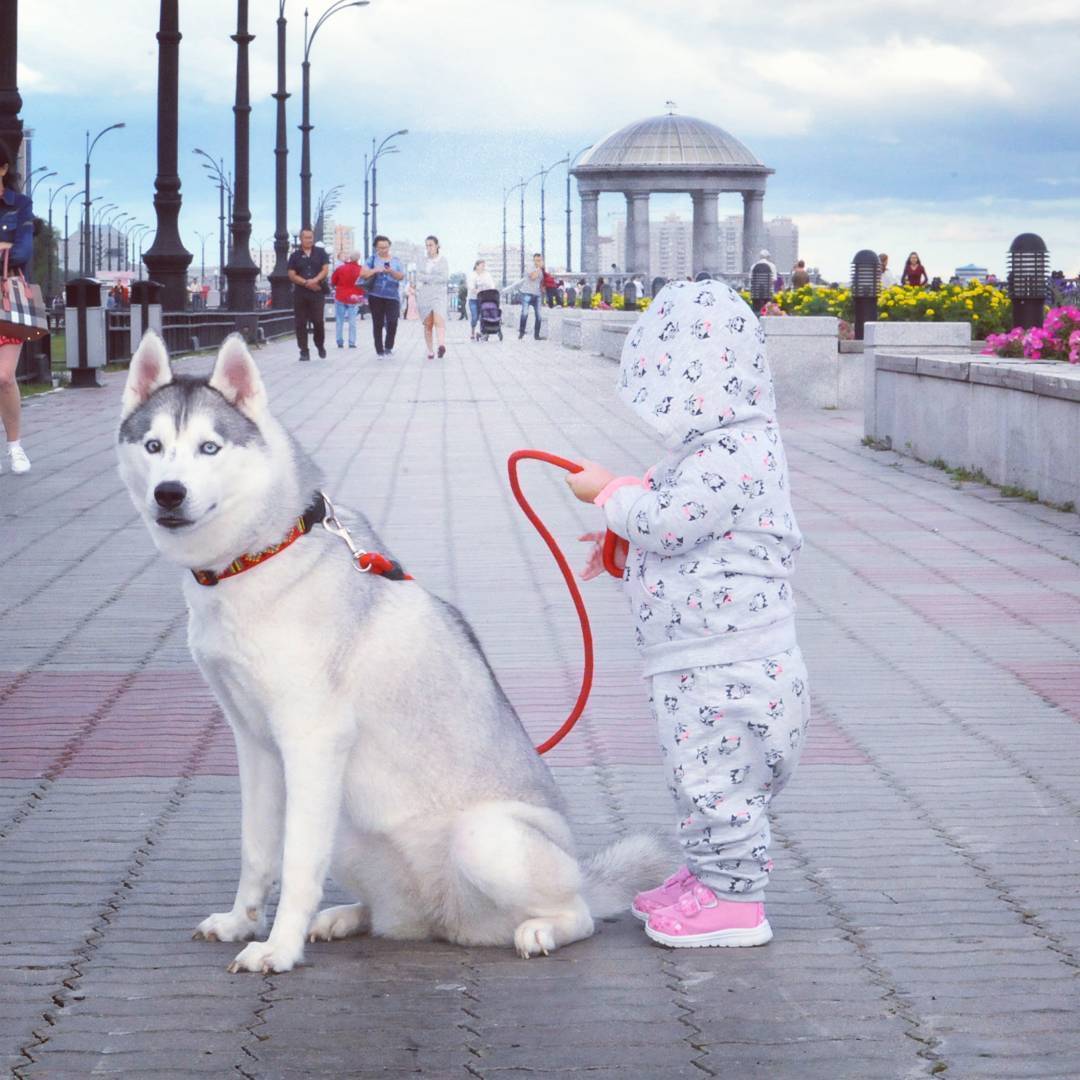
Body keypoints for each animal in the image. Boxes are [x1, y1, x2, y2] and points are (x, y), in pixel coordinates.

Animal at [113, 332, 660, 976]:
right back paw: (348, 917)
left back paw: (542, 929)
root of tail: (446, 920)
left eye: (209, 447)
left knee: (579, 914)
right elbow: (258, 851)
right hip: (351, 833)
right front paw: (241, 921)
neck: (258, 556)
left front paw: (278, 947)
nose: (169, 493)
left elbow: (296, 863)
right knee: (390, 914)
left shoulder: (312, 742)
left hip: (487, 839)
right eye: (154, 446)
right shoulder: (255, 744)